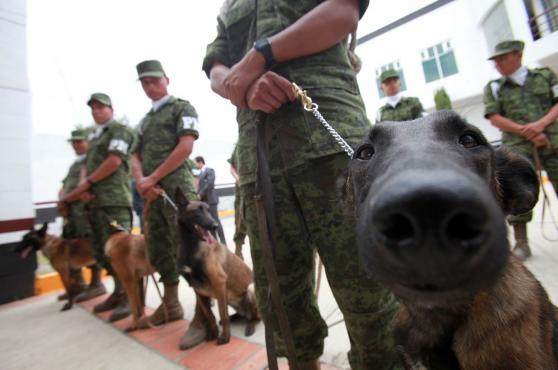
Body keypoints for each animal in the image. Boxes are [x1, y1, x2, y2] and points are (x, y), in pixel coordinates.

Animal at [175, 189, 262, 346]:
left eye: (209, 211)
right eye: (196, 212)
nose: (215, 226)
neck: (191, 246)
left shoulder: (219, 281)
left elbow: (222, 312)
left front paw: (225, 337)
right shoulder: (197, 288)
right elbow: (209, 315)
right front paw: (213, 333)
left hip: (251, 289)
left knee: (255, 317)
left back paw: (250, 326)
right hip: (230, 299)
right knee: (242, 314)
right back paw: (235, 317)